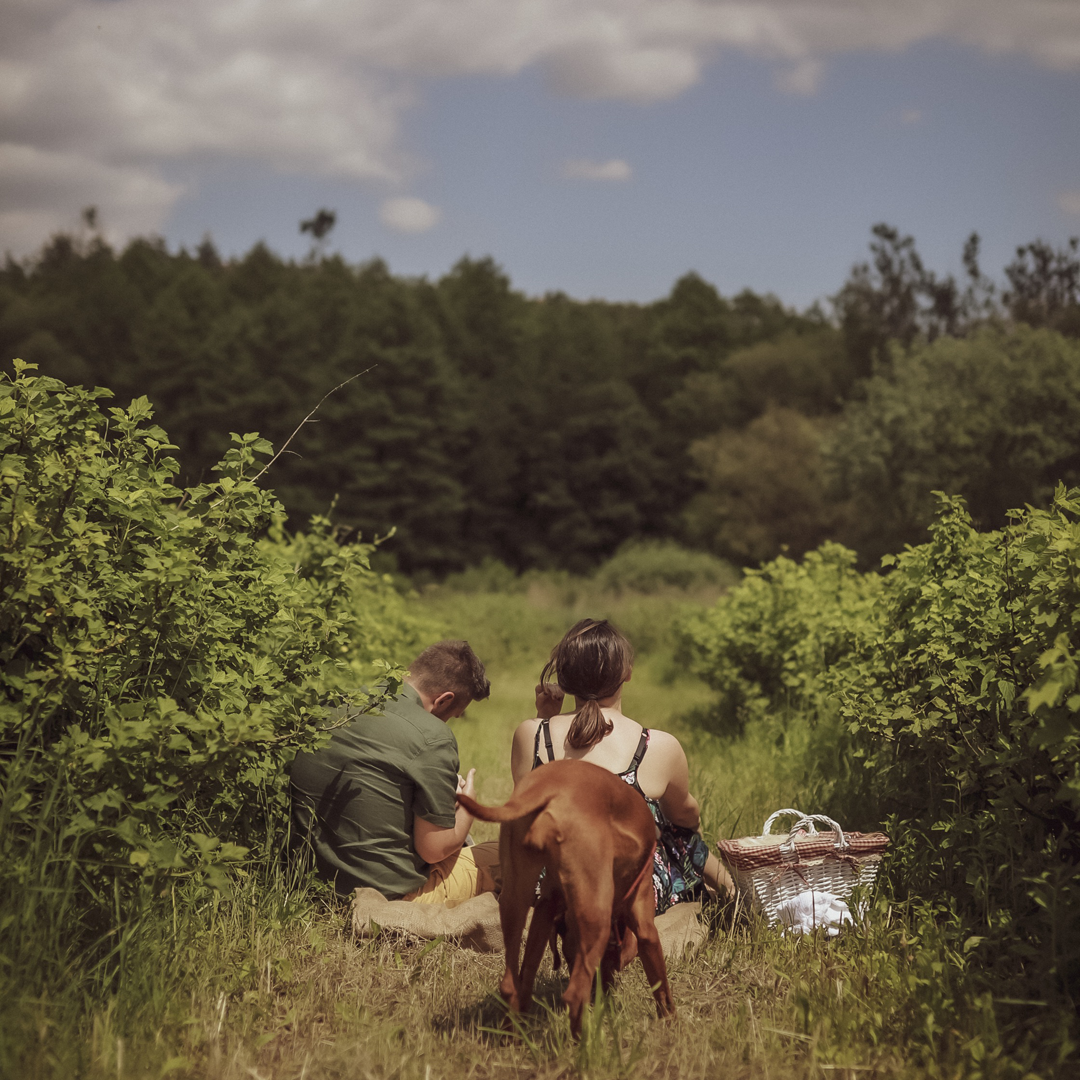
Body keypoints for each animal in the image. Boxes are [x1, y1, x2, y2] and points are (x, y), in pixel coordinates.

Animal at [457, 758, 674, 1034]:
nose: (601, 992)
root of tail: (546, 787)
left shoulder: (546, 907)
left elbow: (527, 972)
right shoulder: (645, 922)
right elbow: (662, 986)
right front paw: (671, 1021)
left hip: (513, 898)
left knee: (509, 984)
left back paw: (512, 1033)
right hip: (596, 920)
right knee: (573, 996)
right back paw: (586, 1041)